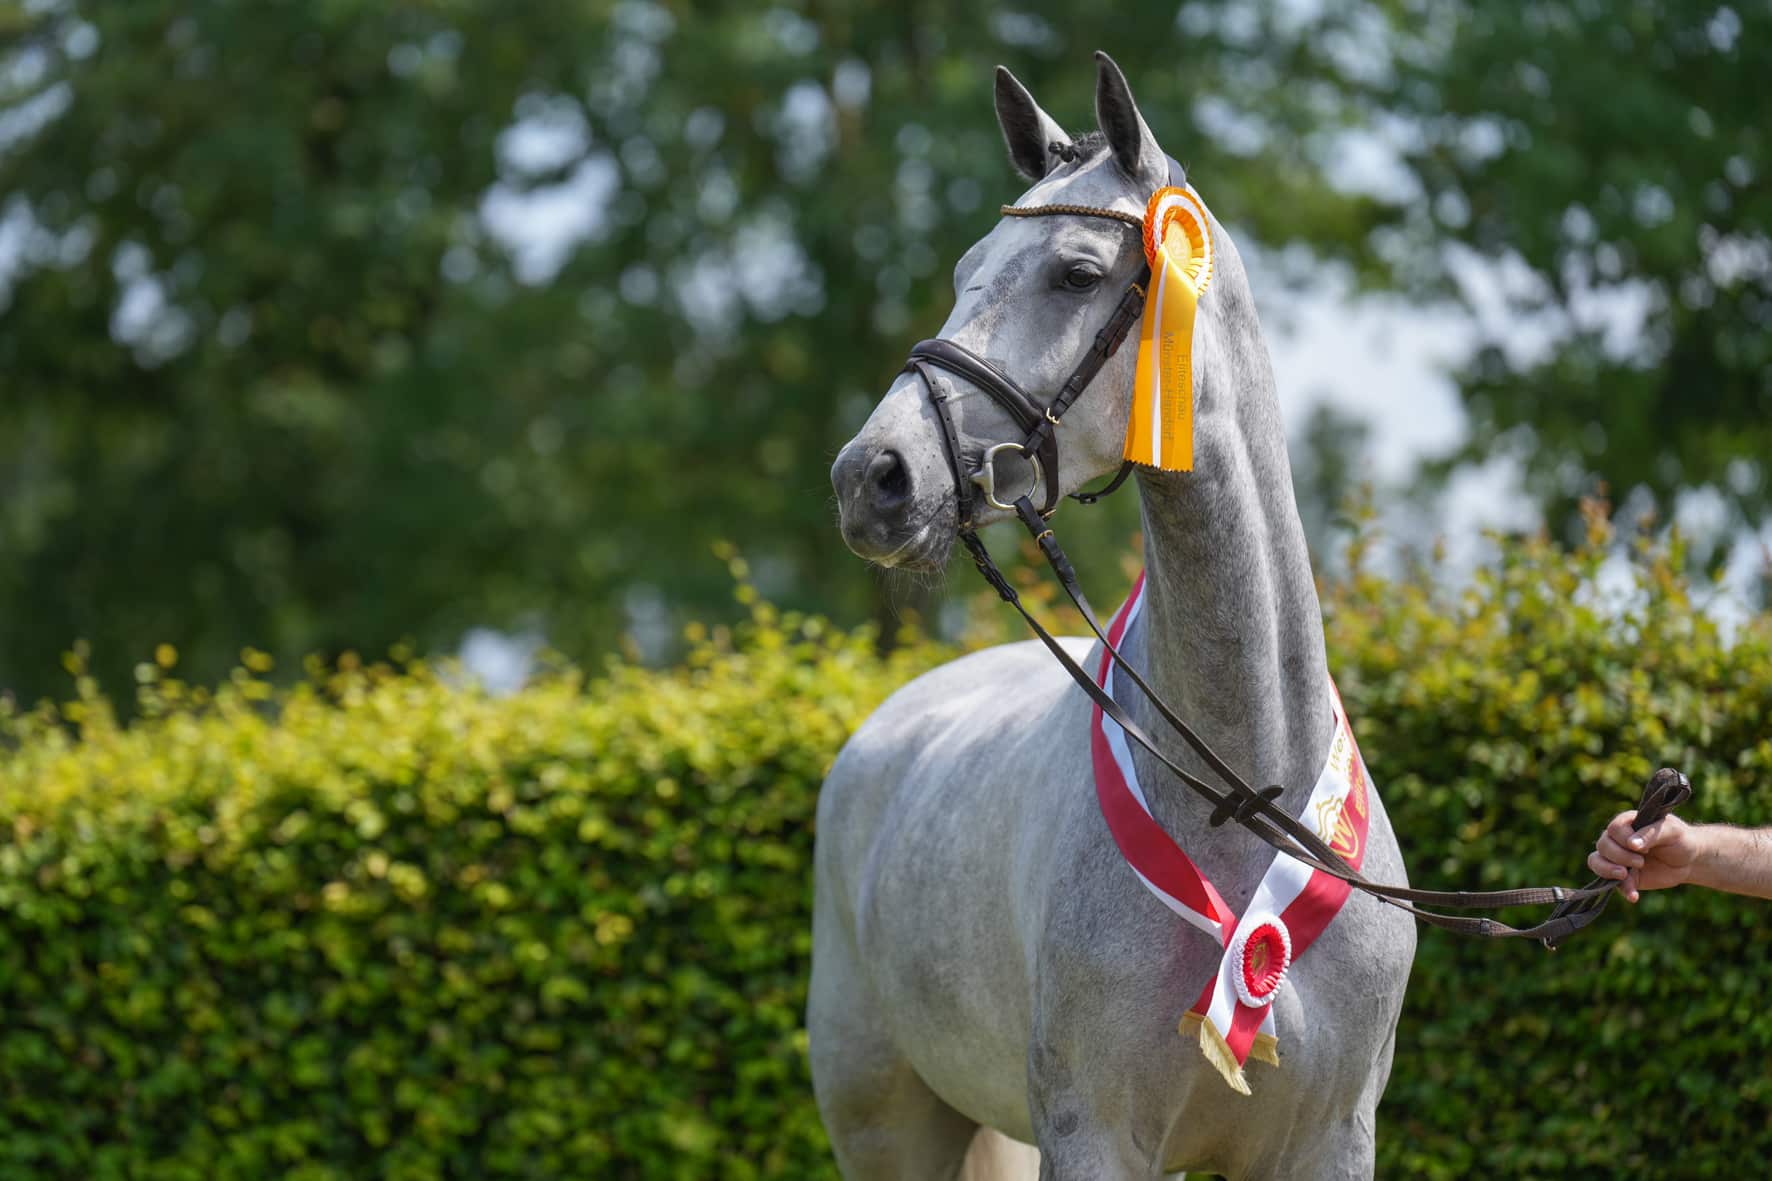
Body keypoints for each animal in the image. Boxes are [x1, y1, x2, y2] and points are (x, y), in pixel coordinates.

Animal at [811, 52, 1410, 1177]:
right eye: (965, 269)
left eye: (1078, 276)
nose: (871, 476)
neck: (1240, 799)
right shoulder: (1093, 1134)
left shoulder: (1326, 1141)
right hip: (887, 1125)